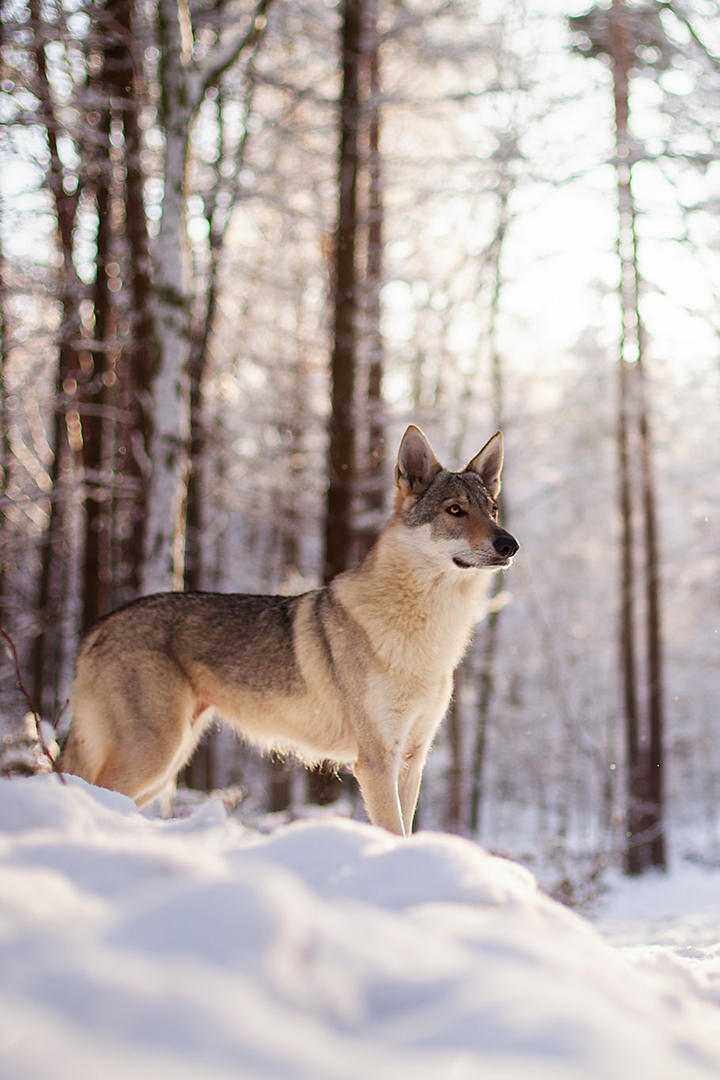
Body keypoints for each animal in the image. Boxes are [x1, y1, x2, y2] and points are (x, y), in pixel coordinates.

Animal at [57, 425, 518, 829]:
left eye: (492, 511)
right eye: (454, 510)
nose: (509, 544)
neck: (427, 633)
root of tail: (98, 627)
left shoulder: (411, 760)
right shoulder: (375, 762)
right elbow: (394, 833)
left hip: (164, 767)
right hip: (154, 756)